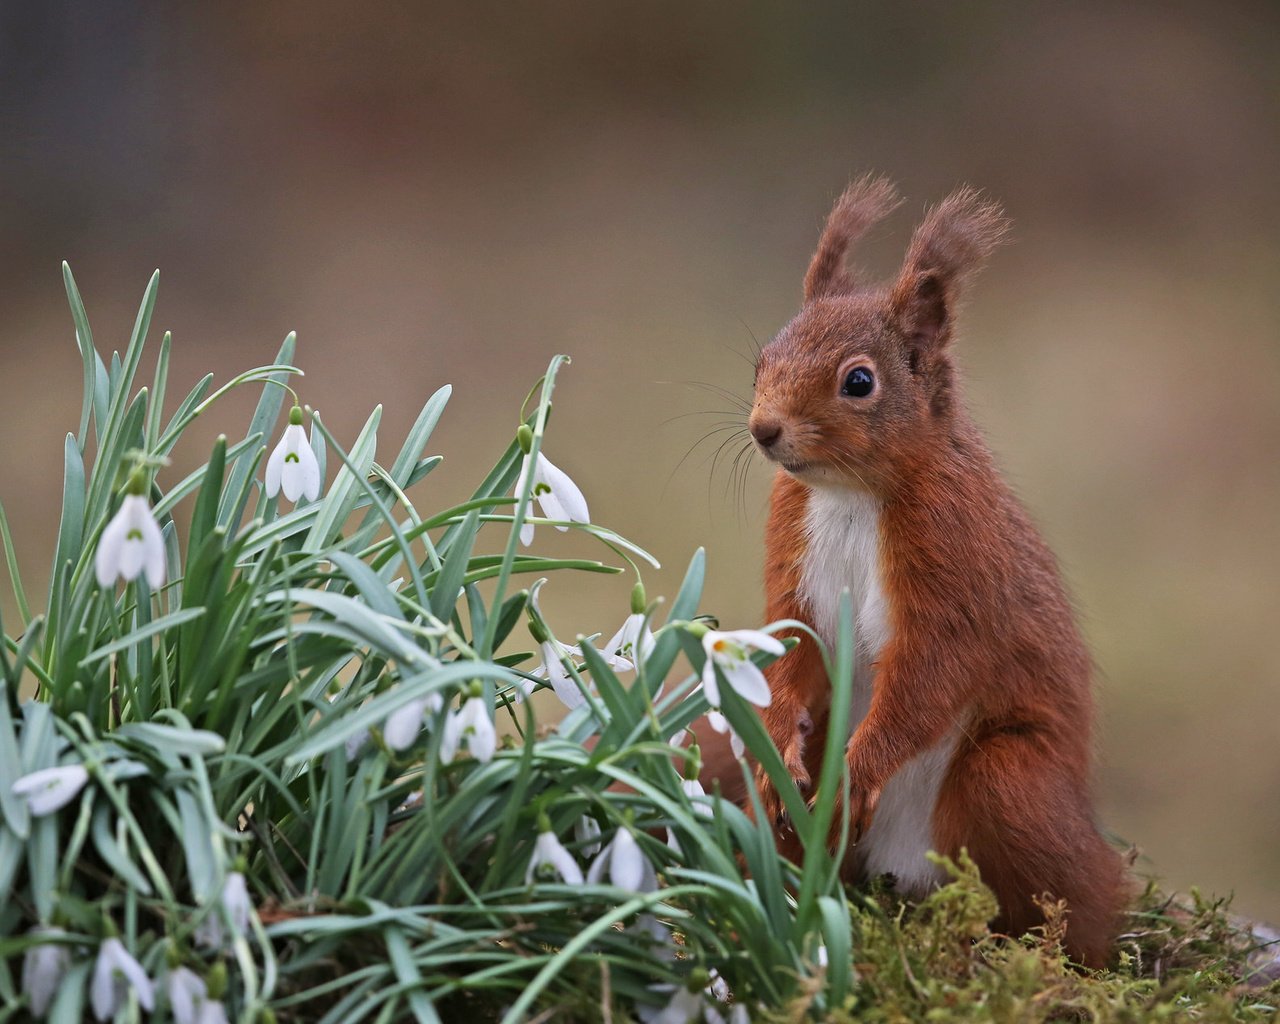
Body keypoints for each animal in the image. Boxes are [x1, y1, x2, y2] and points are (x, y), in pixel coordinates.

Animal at [706, 176, 1126, 967]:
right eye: (762, 360)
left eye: (859, 381)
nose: (764, 430)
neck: (849, 494)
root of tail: (900, 870)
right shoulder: (793, 555)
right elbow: (793, 642)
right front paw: (779, 736)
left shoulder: (955, 558)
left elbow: (931, 671)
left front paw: (861, 772)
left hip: (1010, 783)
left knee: (1079, 902)